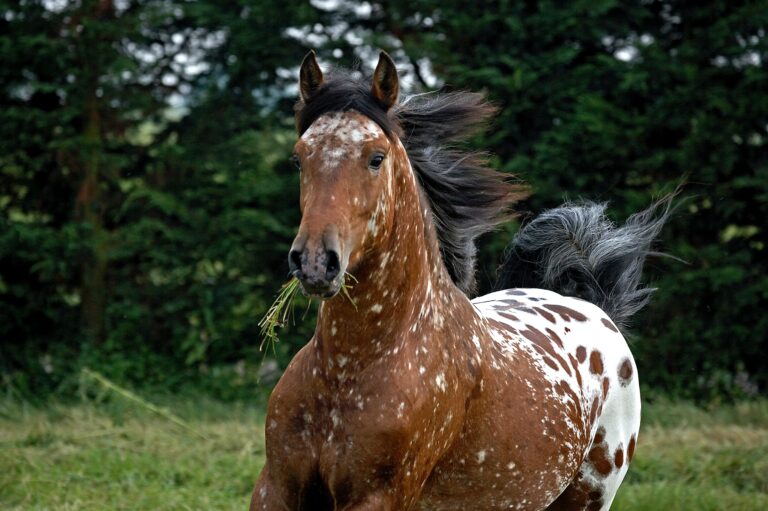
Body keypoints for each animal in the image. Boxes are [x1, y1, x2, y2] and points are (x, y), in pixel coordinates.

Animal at [250, 51, 671, 511]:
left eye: (376, 157)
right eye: (299, 157)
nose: (314, 262)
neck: (348, 370)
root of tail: (593, 305)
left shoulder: (379, 496)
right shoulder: (276, 487)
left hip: (588, 497)